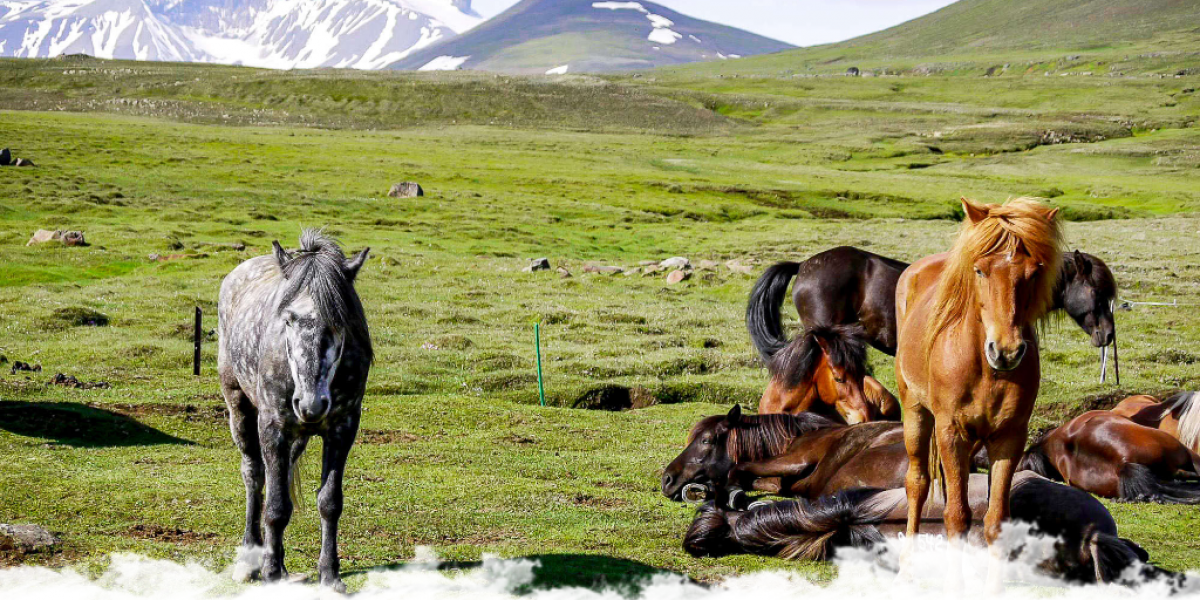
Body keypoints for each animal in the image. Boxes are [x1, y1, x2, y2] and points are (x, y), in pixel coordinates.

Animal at [218, 230, 372, 591]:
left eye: (340, 320)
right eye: (287, 319)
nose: (310, 404)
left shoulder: (343, 427)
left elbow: (329, 502)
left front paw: (330, 575)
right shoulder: (273, 427)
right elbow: (275, 506)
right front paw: (271, 572)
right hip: (239, 408)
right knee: (254, 476)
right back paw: (250, 560)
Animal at [894, 197, 1062, 589]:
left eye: (1034, 272)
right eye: (981, 271)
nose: (1006, 351)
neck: (986, 371)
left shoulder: (1009, 438)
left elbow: (996, 520)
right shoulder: (951, 433)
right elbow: (956, 516)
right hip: (916, 413)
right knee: (917, 483)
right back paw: (907, 566)